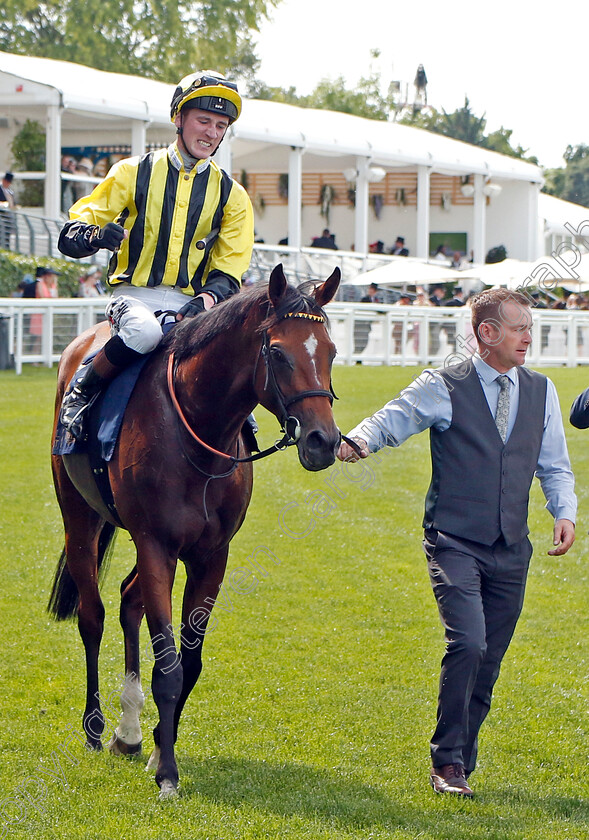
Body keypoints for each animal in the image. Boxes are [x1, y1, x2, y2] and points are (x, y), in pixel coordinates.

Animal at [48, 266, 342, 796]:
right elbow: (168, 666)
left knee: (128, 600)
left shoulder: (211, 555)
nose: (322, 441)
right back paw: (96, 727)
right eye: (277, 352)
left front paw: (157, 749)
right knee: (92, 615)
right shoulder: (157, 546)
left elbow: (190, 662)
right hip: (78, 517)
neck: (199, 431)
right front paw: (167, 773)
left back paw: (128, 732)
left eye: (329, 351)